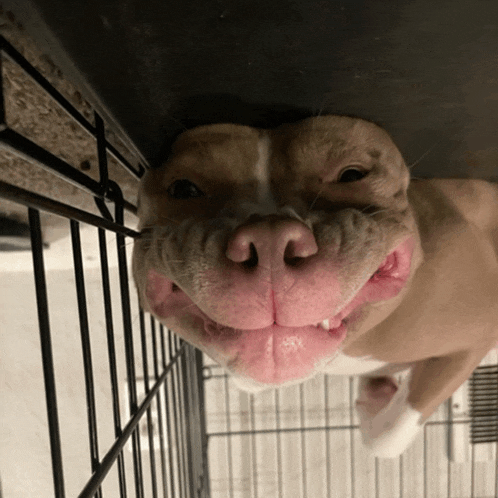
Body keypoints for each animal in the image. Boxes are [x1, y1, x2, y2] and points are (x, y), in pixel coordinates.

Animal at [131, 115, 498, 458]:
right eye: (183, 189)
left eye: (352, 174)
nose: (270, 240)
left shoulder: (476, 333)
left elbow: (390, 433)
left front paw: (373, 399)